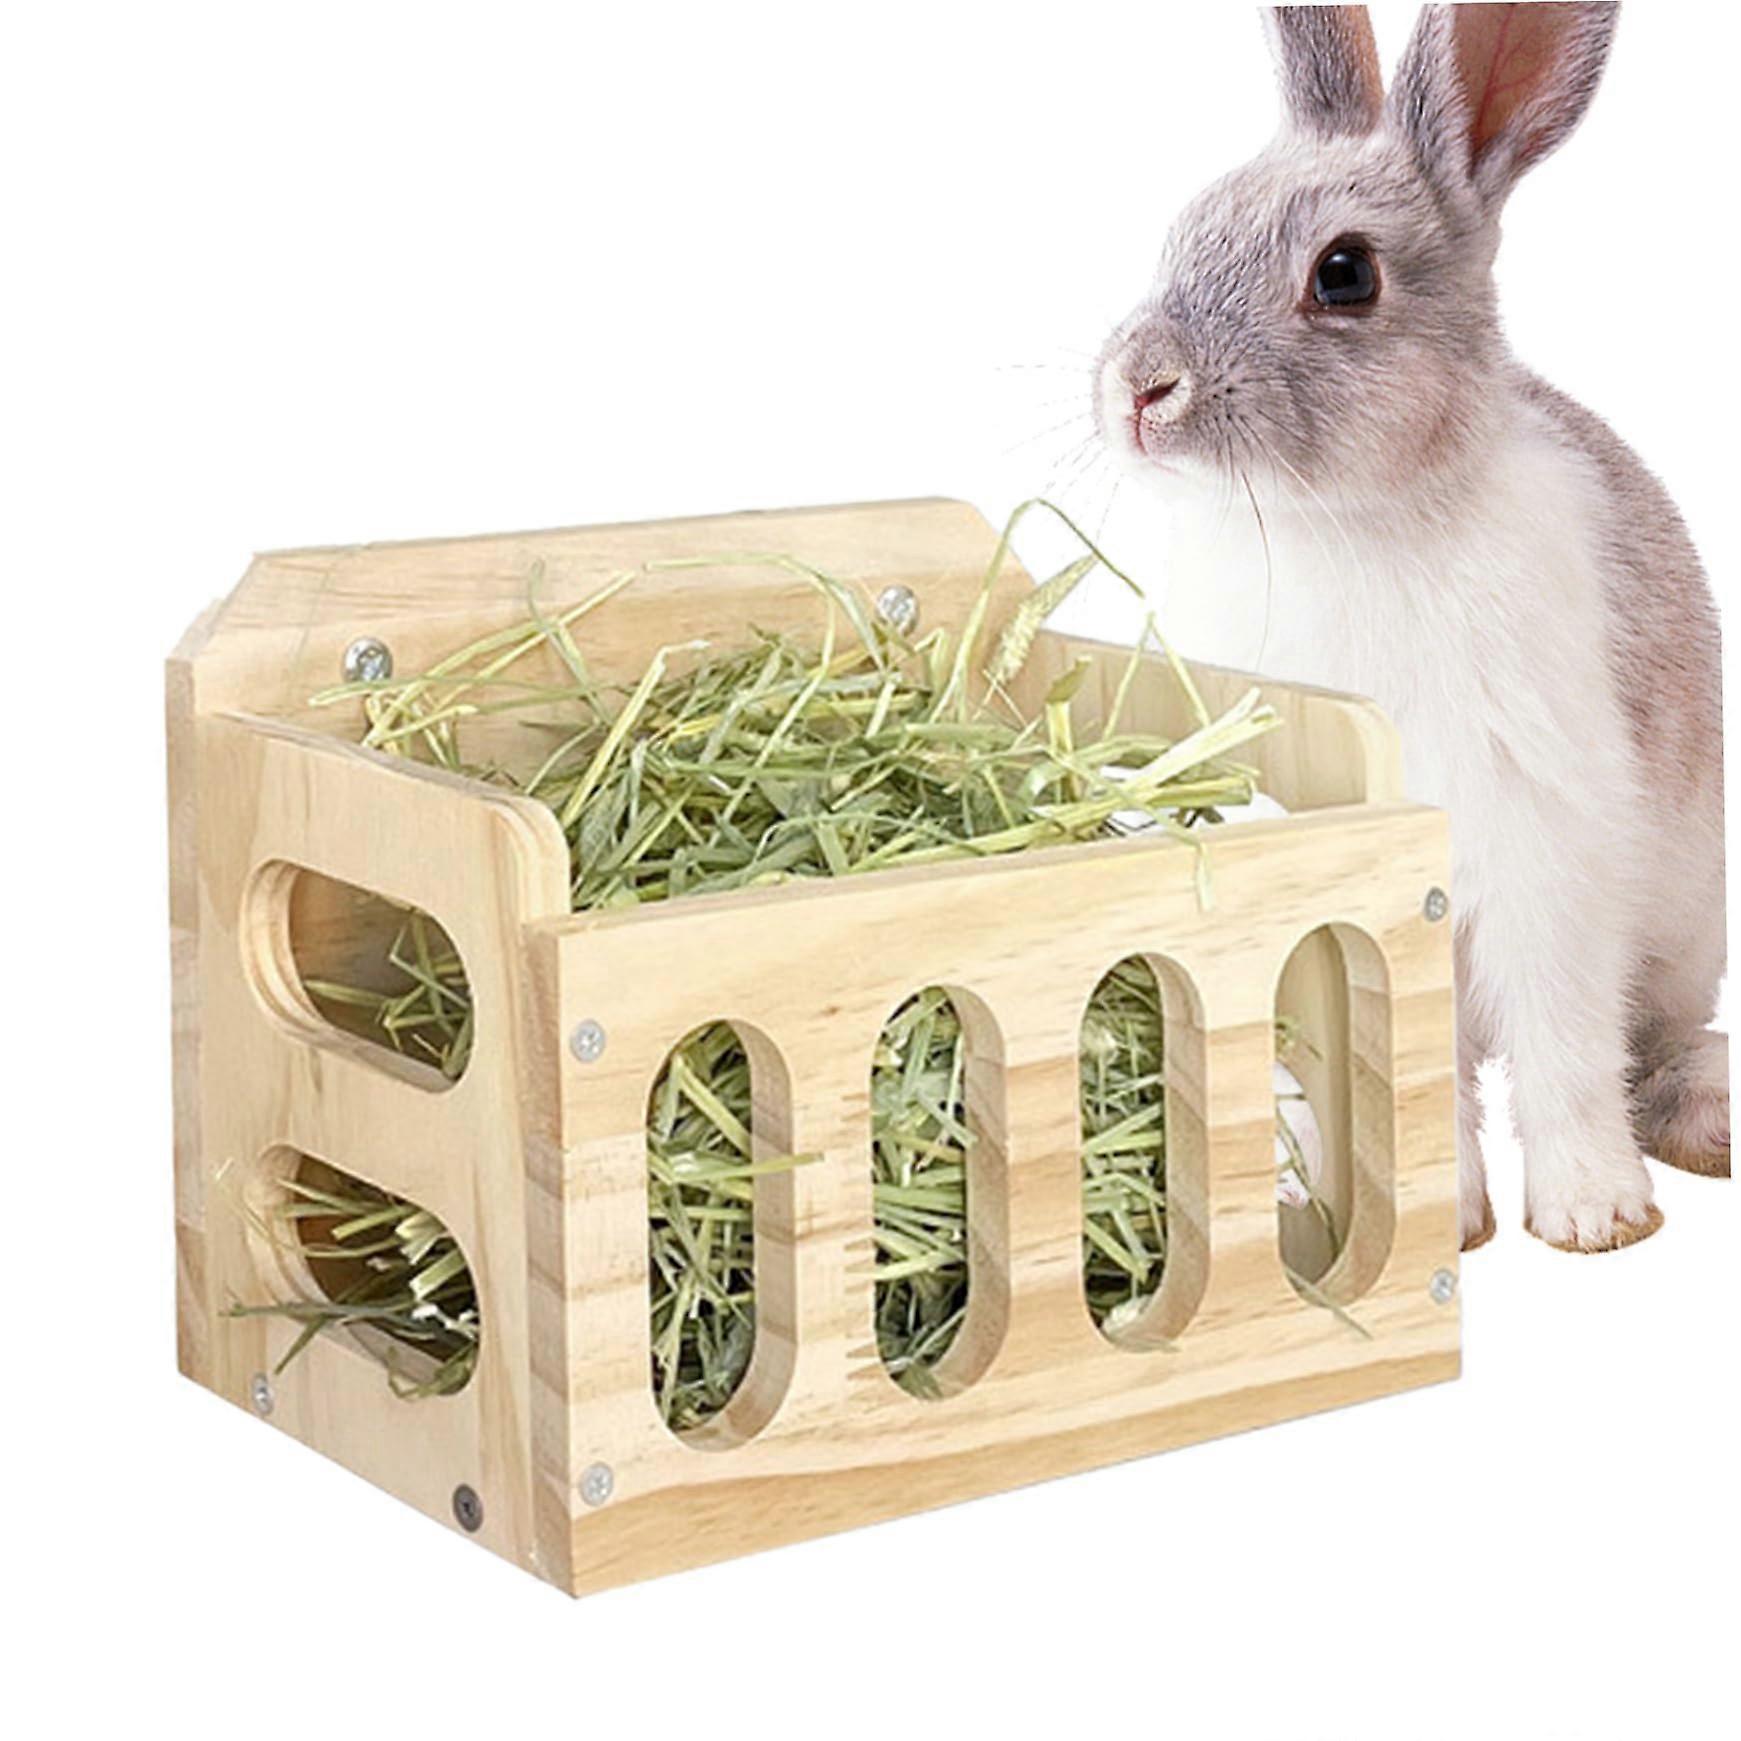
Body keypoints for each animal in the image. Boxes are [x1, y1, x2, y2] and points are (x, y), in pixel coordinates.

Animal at [1093, 2, 1727, 1252]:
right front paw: (1444, 1221)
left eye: (1344, 275)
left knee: (1655, 1037)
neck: (1347, 519)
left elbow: (1564, 1045)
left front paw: (1592, 1215)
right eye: (1185, 228)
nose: (1139, 387)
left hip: (1687, 925)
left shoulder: (1546, 849)